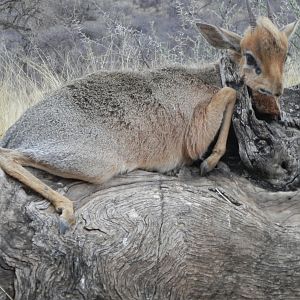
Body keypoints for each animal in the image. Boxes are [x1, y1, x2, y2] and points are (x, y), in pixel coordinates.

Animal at [0, 0, 296, 231]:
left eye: (285, 55)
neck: (207, 78)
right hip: (92, 163)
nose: (277, 89)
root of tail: (15, 131)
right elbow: (229, 93)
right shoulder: (195, 138)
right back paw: (66, 210)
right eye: (250, 56)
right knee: (8, 156)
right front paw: (210, 161)